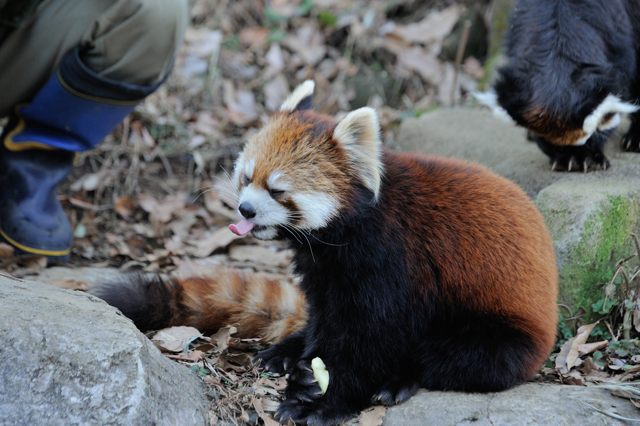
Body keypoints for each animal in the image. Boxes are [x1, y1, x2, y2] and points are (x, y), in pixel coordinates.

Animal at [228, 81, 556, 424]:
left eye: (277, 190)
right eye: (247, 177)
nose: (245, 209)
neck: (345, 231)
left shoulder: (391, 262)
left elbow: (371, 338)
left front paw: (323, 399)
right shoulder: (325, 272)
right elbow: (324, 319)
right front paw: (308, 365)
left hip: (501, 329)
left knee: (450, 356)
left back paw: (397, 381)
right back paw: (285, 351)